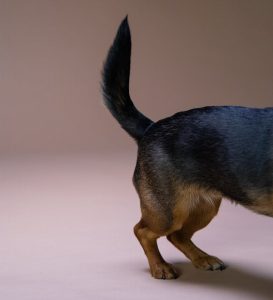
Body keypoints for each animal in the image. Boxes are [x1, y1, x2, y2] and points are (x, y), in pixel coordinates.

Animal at [100, 16, 272, 278]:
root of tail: (152, 127)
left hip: (204, 207)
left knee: (177, 235)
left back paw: (202, 259)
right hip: (167, 212)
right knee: (143, 231)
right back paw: (159, 266)